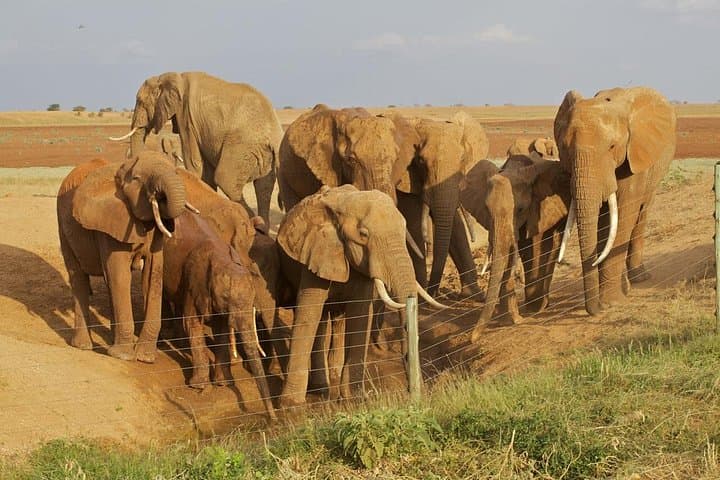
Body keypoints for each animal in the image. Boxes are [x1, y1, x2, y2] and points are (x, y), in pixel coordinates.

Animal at [57, 152, 191, 362]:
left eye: (176, 172)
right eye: (136, 179)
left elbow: (152, 275)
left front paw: (145, 358)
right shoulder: (109, 224)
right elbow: (121, 277)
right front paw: (123, 356)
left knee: (107, 282)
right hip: (63, 227)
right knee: (78, 275)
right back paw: (84, 346)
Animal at [111, 71, 283, 230]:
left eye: (140, 102)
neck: (171, 76)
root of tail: (276, 134)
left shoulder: (186, 116)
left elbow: (194, 162)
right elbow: (206, 173)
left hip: (242, 145)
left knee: (226, 180)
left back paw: (252, 222)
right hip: (263, 153)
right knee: (263, 188)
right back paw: (262, 228)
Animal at [162, 211, 276, 421]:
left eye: (253, 300)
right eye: (225, 298)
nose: (274, 419)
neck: (222, 259)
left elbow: (222, 329)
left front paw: (224, 383)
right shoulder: (194, 282)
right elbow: (193, 324)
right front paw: (199, 386)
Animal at [276, 185, 444, 408]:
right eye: (363, 234)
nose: (417, 393)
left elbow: (360, 314)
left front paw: (353, 398)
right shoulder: (316, 253)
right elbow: (307, 316)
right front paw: (290, 406)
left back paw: (326, 384)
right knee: (319, 319)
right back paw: (320, 388)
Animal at [554, 87, 676, 315]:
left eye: (612, 147)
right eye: (565, 148)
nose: (597, 309)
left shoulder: (634, 154)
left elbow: (624, 217)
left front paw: (612, 303)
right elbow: (604, 225)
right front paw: (614, 297)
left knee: (641, 213)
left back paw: (639, 278)